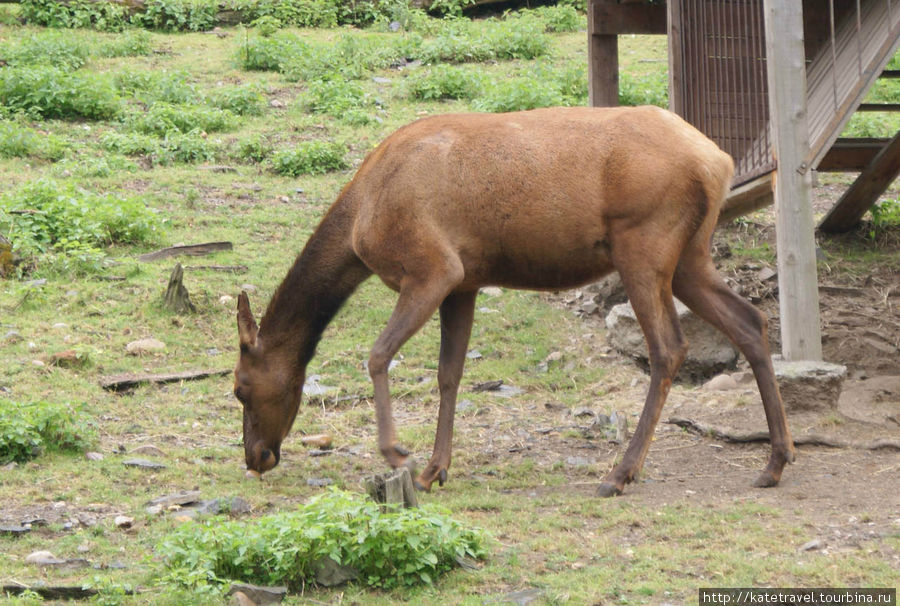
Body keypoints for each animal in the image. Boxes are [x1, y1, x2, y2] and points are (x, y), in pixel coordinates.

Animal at [234, 108, 796, 498]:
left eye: (240, 388)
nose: (256, 457)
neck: (359, 223)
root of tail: (719, 161)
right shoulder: (464, 283)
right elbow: (449, 374)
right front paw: (434, 470)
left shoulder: (433, 269)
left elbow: (377, 354)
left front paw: (397, 453)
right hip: (689, 257)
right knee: (750, 321)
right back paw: (775, 460)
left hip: (645, 243)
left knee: (669, 347)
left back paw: (620, 472)